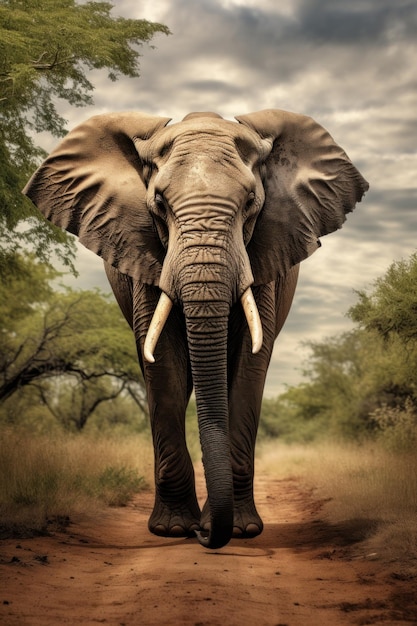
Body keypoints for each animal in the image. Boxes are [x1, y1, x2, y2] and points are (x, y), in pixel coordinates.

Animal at [22, 109, 368, 548]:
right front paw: (171, 530)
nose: (204, 535)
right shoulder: (143, 253)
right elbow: (164, 367)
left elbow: (249, 365)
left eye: (251, 202)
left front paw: (239, 531)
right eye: (158, 203)